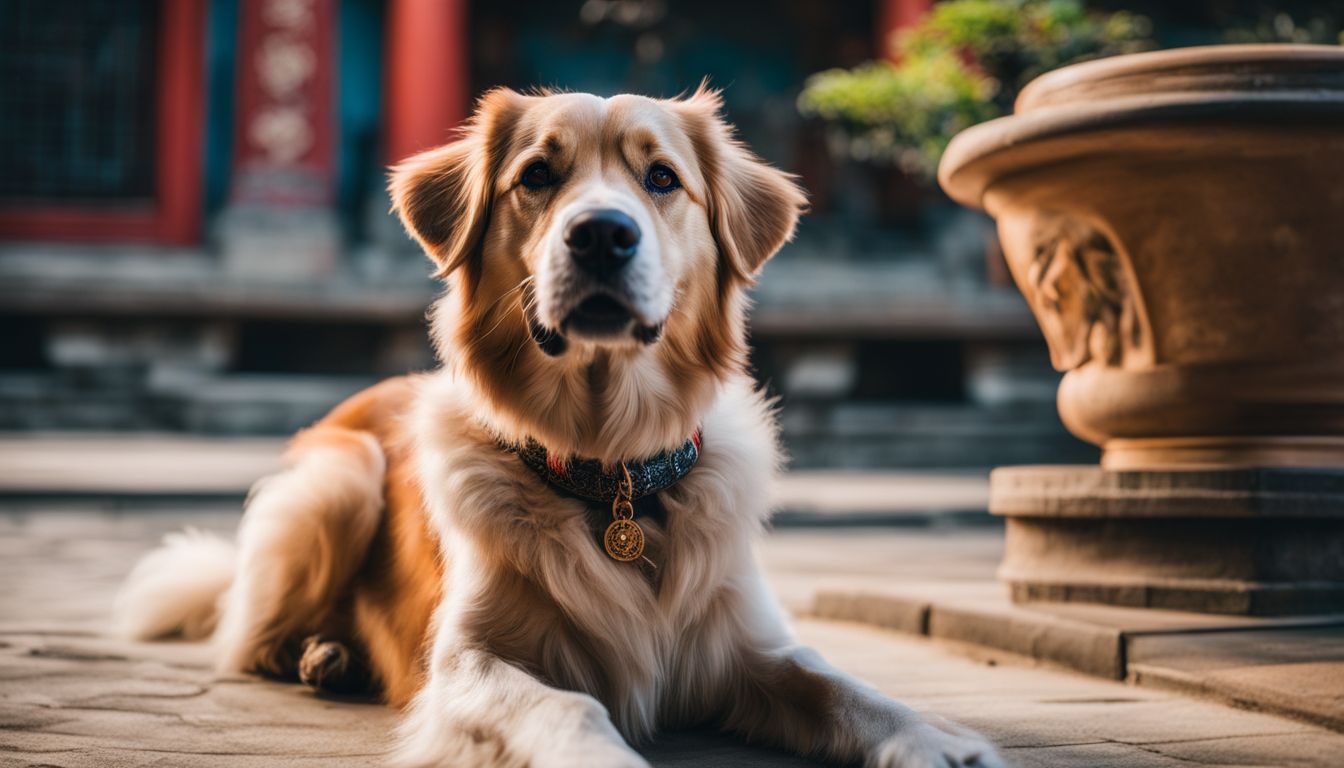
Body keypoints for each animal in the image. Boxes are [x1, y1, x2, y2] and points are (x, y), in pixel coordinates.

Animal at [112, 87, 999, 763]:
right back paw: (324, 653)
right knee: (249, 635)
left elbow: (840, 684)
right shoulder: (469, 661)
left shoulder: (747, 644)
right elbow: (567, 705)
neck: (612, 470)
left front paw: (937, 741)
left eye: (662, 178)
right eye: (537, 174)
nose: (602, 233)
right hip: (338, 480)